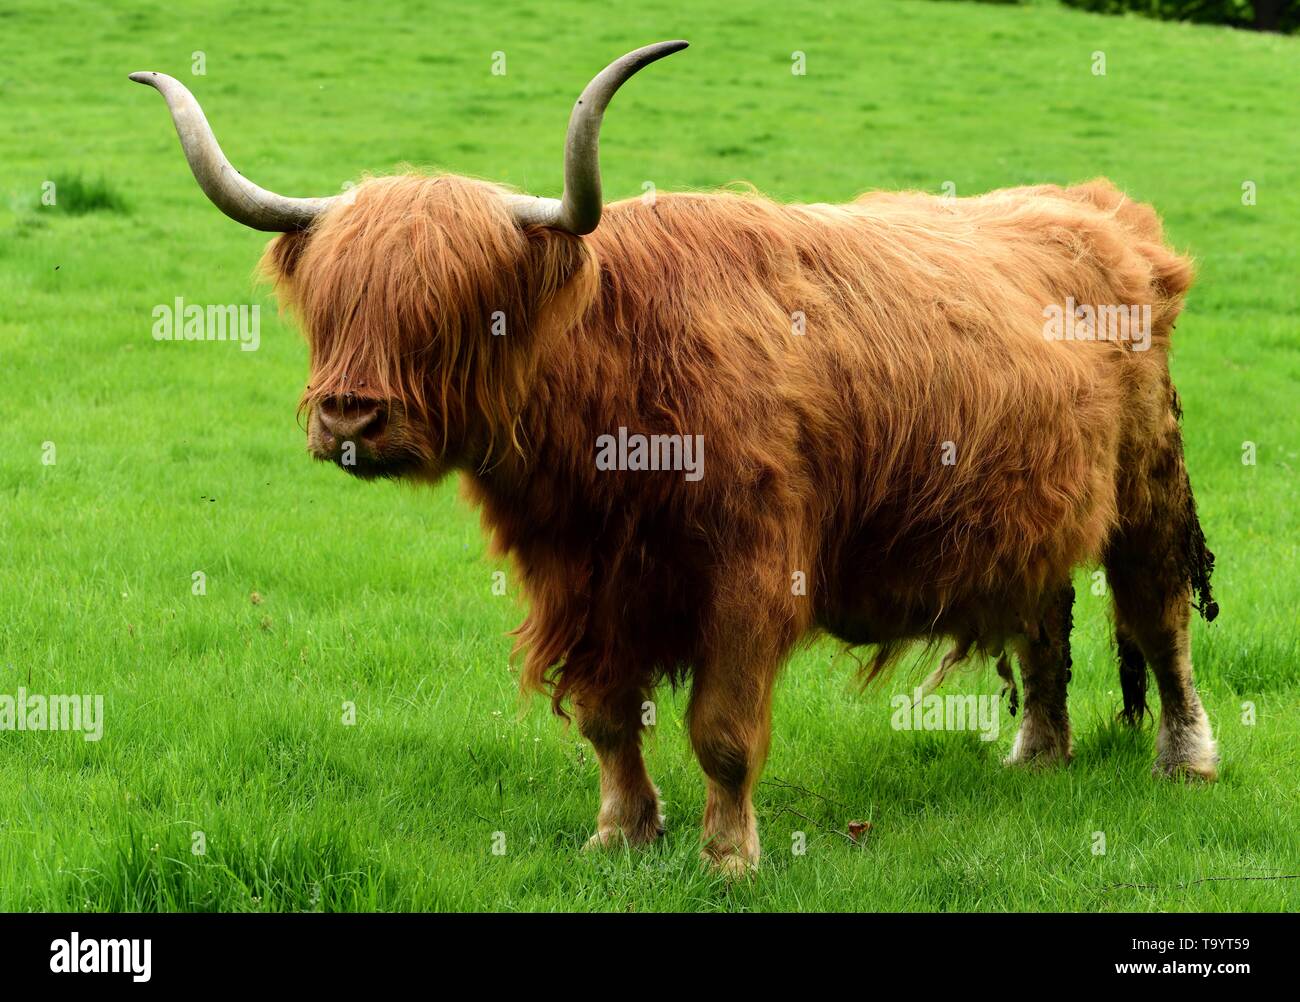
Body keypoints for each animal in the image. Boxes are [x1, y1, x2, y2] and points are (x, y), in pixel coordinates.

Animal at [131, 41, 1219, 875]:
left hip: (1148, 485)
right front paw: (620, 835)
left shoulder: (749, 572)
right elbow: (609, 719)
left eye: (457, 308)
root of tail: (1102, 213)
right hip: (1039, 504)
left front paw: (727, 855)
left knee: (1157, 616)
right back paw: (1037, 754)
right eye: (330, 302)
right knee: (1043, 618)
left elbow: (723, 732)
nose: (350, 418)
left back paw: (1187, 760)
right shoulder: (577, 582)